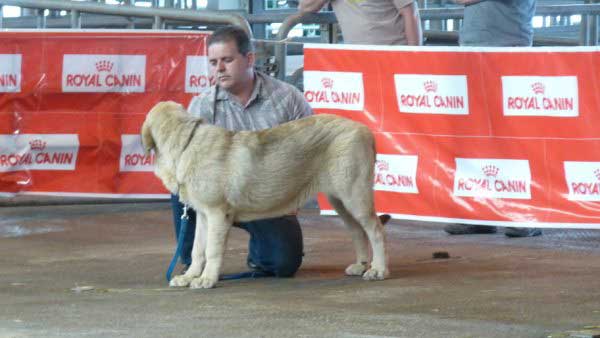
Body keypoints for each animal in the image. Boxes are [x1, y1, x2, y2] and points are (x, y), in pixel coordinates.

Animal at [144, 100, 392, 288]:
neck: (186, 144)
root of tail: (365, 130)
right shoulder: (204, 217)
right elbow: (198, 249)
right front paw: (190, 276)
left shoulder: (217, 215)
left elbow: (212, 250)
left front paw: (207, 279)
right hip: (340, 201)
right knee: (358, 231)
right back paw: (361, 265)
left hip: (355, 196)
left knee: (375, 231)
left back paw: (378, 269)